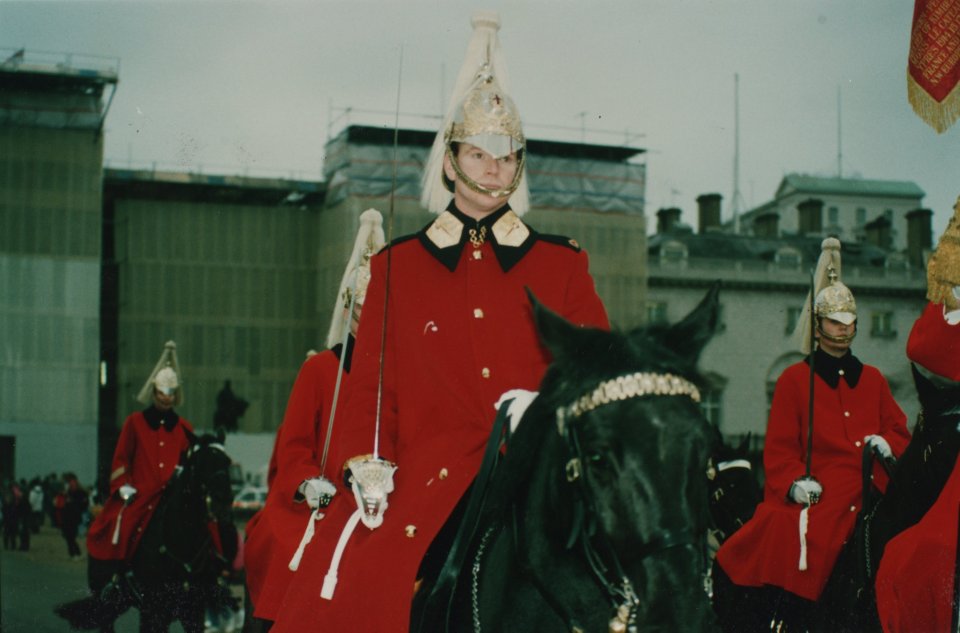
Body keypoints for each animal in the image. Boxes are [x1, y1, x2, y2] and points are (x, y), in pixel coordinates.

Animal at [55, 430, 236, 632]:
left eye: (227, 462)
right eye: (198, 463)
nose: (222, 501)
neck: (181, 544)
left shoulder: (193, 611)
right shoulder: (154, 610)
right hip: (106, 603)